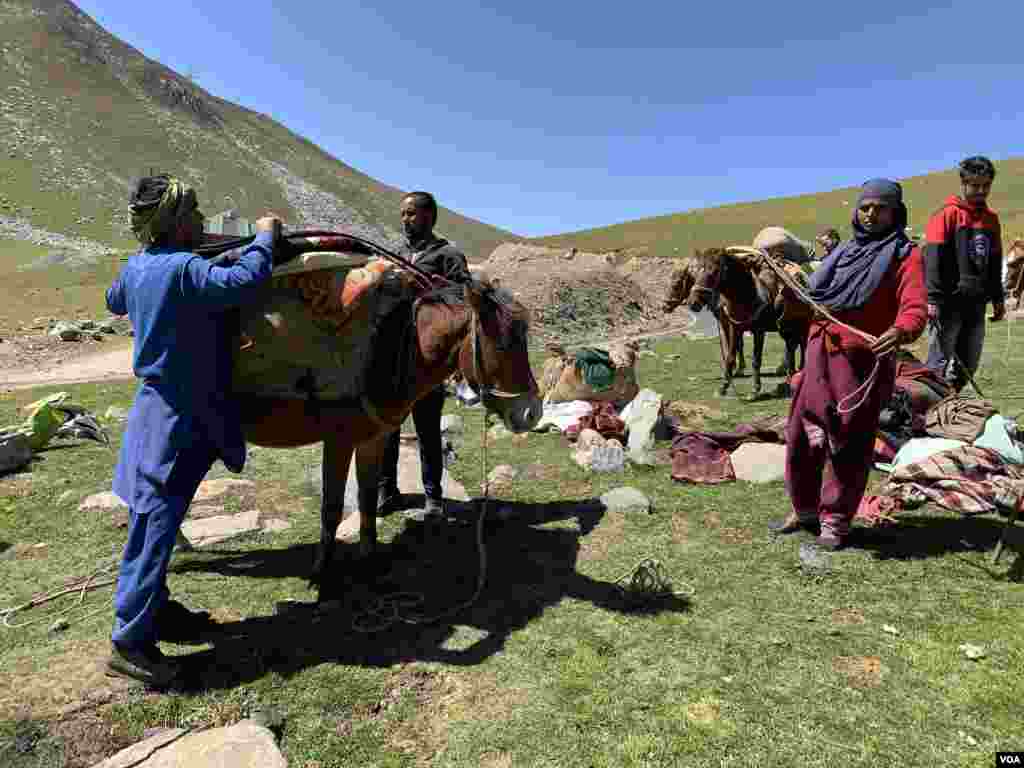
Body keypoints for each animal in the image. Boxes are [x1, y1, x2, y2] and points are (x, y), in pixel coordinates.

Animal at [238, 280, 544, 585]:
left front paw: (369, 562)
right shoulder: (338, 442)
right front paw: (322, 572)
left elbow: (366, 499)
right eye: (503, 345)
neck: (381, 355)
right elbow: (331, 507)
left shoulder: (372, 439)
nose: (533, 413)